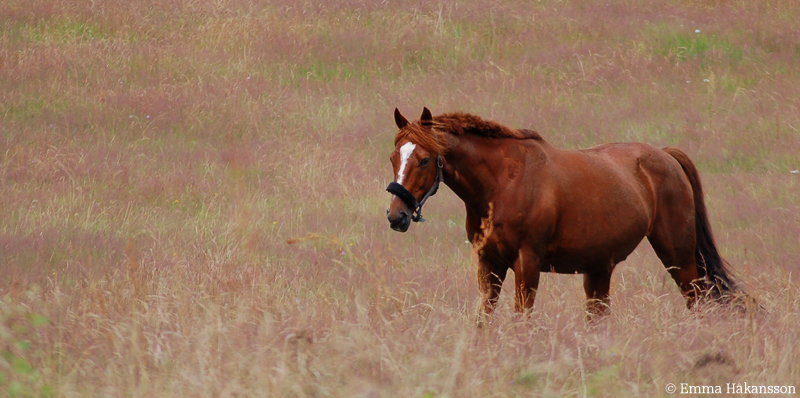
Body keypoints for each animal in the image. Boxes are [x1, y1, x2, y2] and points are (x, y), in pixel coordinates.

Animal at [384, 107, 740, 318]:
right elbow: (485, 320)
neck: (502, 183)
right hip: (599, 270)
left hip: (677, 257)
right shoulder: (489, 264)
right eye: (393, 157)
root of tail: (665, 155)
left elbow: (521, 320)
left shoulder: (527, 264)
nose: (396, 216)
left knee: (697, 301)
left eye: (425, 159)